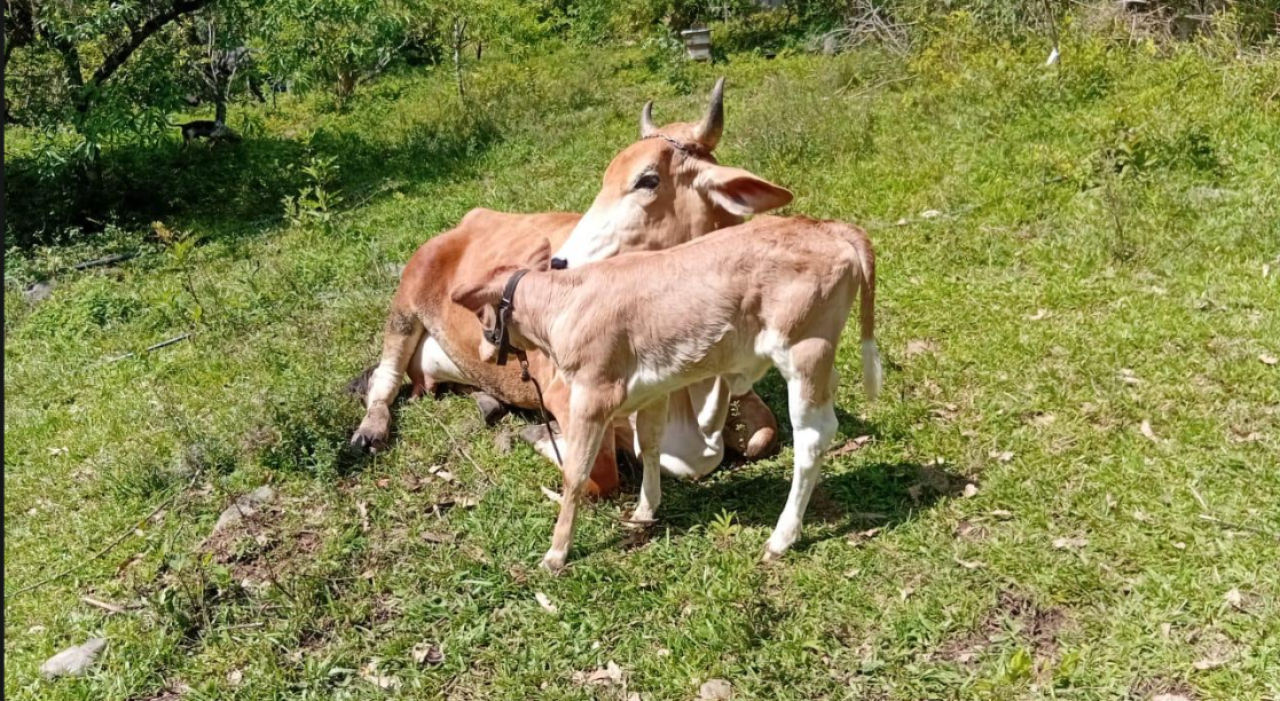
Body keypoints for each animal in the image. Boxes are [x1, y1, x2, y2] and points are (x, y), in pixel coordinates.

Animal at [351, 80, 793, 496]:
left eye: (648, 180)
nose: (558, 262)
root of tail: (468, 219)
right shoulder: (567, 397)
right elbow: (601, 472)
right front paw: (538, 435)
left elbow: (763, 435)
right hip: (405, 304)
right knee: (384, 381)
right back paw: (370, 430)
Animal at [451, 215, 882, 572]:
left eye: (481, 315)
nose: (485, 352)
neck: (564, 307)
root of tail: (827, 226)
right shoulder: (653, 389)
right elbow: (650, 444)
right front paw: (645, 510)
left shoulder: (593, 395)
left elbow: (576, 473)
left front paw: (557, 553)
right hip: (818, 359)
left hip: (804, 350)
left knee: (813, 437)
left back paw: (782, 537)